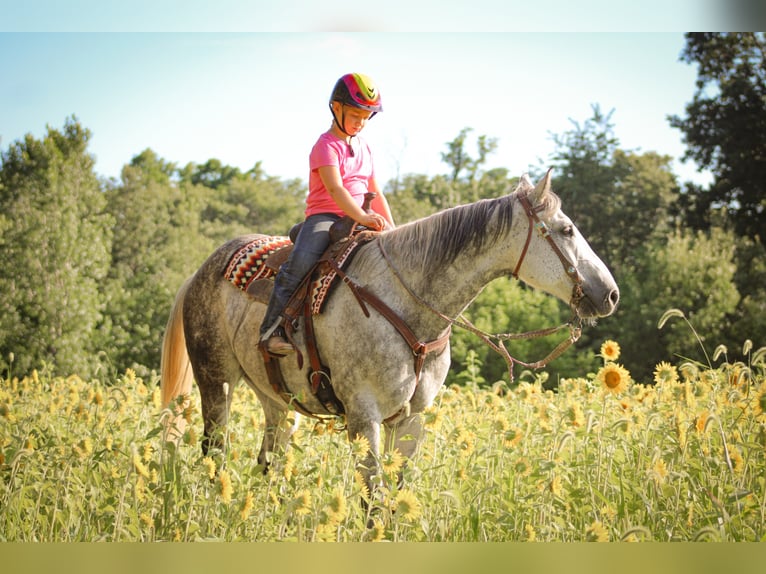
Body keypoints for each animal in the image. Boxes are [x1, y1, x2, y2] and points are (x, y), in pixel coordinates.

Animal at [159, 169, 620, 498]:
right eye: (566, 230)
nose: (610, 294)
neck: (406, 304)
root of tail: (199, 272)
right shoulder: (364, 417)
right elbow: (374, 498)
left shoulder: (411, 419)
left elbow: (398, 496)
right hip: (216, 383)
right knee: (214, 453)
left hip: (278, 401)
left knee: (268, 461)